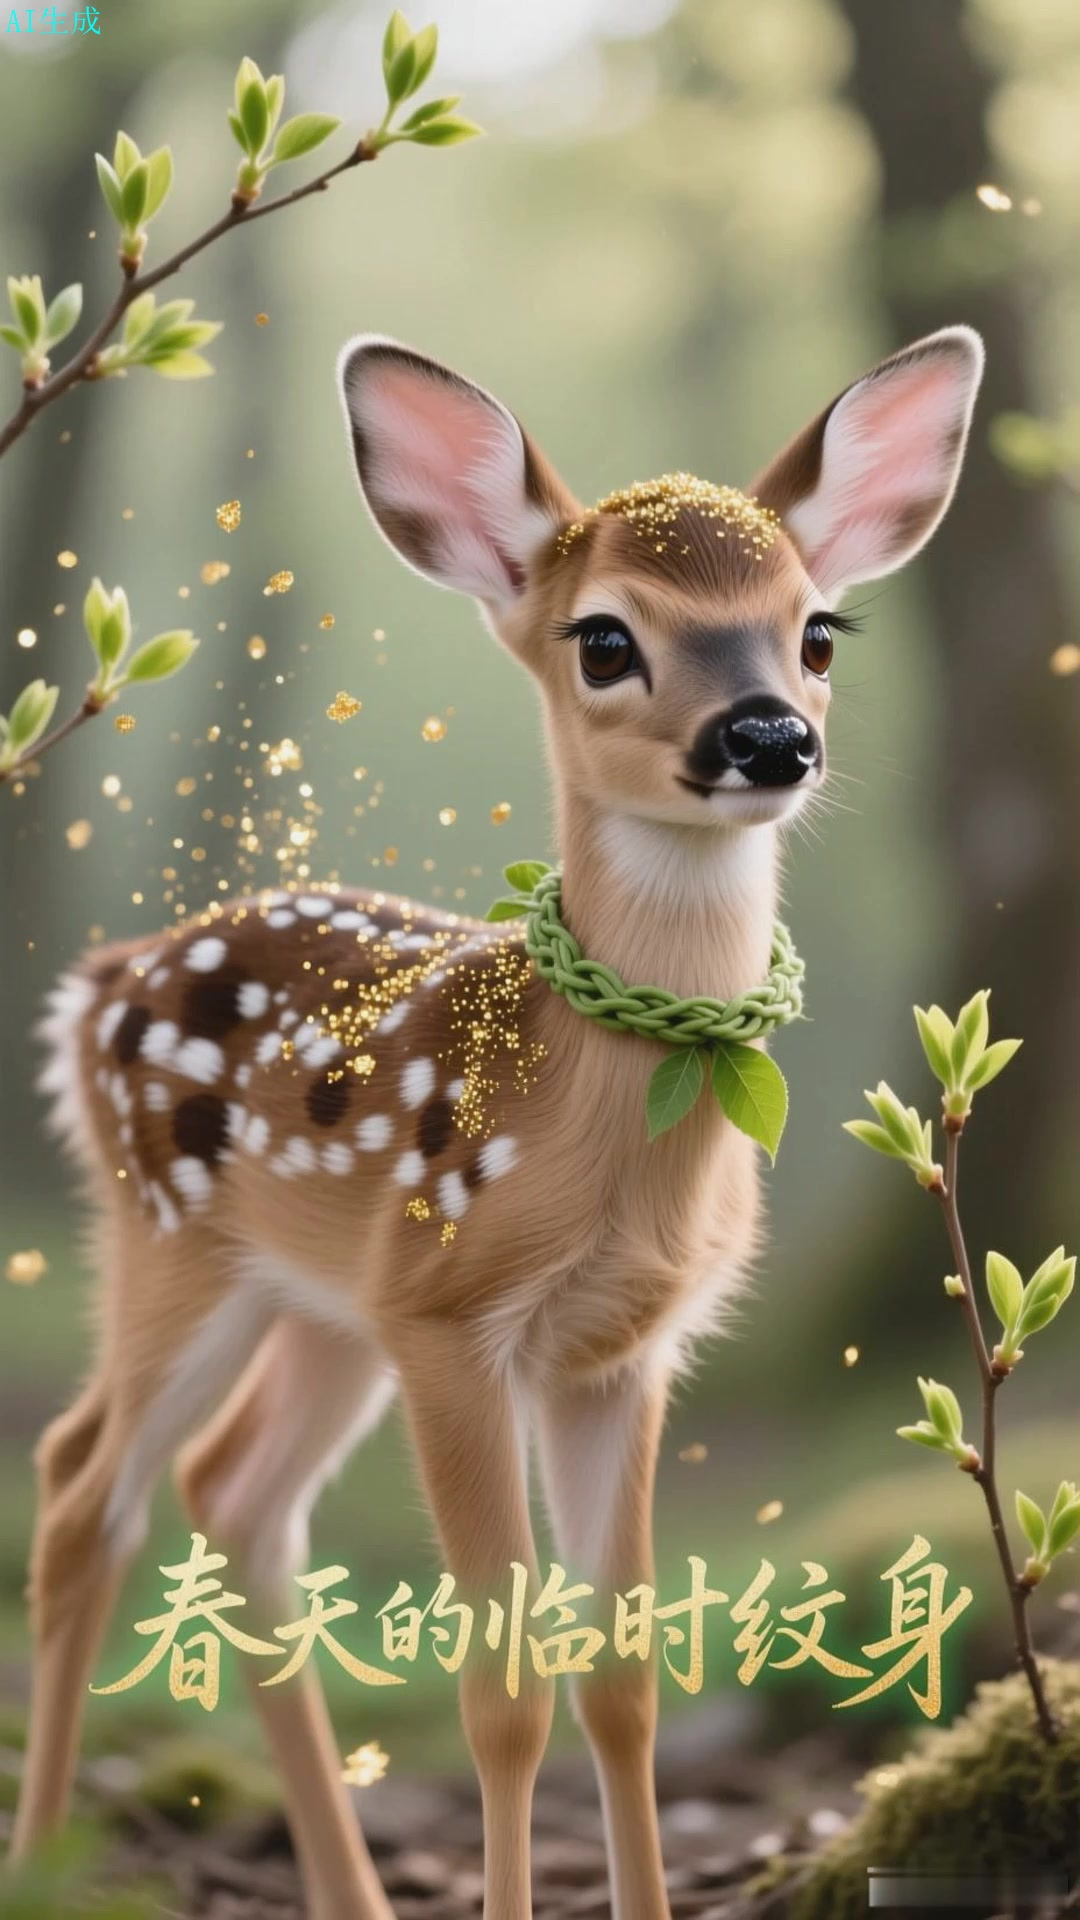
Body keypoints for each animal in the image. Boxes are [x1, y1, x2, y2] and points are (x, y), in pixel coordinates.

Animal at [13, 323, 983, 1920]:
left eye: (820, 632)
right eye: (605, 639)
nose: (768, 735)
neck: (605, 1141)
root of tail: (92, 989)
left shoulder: (615, 1353)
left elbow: (624, 1684)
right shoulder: (456, 1320)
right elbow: (505, 1696)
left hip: (327, 1305)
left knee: (234, 1493)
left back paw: (347, 1897)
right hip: (176, 1242)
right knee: (83, 1489)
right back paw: (39, 1864)